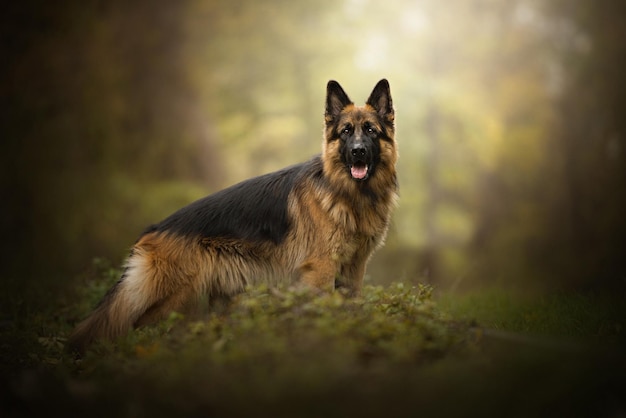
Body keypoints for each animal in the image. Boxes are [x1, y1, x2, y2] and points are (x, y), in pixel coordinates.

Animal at [68, 79, 398, 352]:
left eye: (370, 131)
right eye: (346, 132)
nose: (357, 152)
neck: (349, 196)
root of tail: (153, 229)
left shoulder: (354, 270)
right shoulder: (320, 271)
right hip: (177, 298)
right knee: (136, 326)